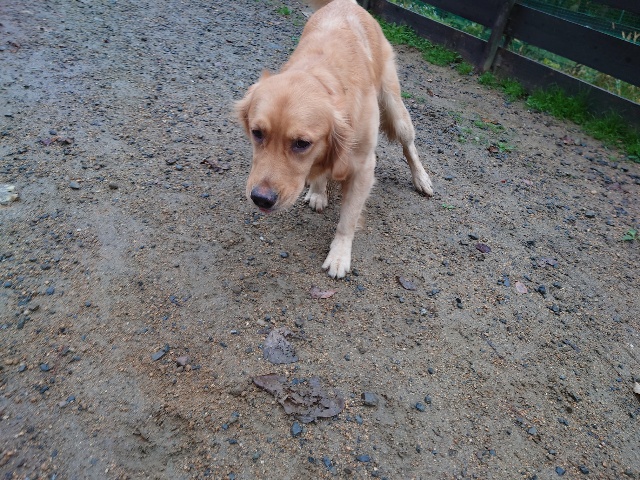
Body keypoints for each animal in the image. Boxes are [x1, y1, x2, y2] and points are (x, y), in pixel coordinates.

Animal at [236, 0, 433, 278]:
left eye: (301, 143)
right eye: (257, 133)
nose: (261, 199)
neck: (322, 75)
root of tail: (347, 3)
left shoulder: (363, 167)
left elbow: (348, 218)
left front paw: (339, 256)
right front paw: (318, 191)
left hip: (395, 107)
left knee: (409, 144)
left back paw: (421, 179)